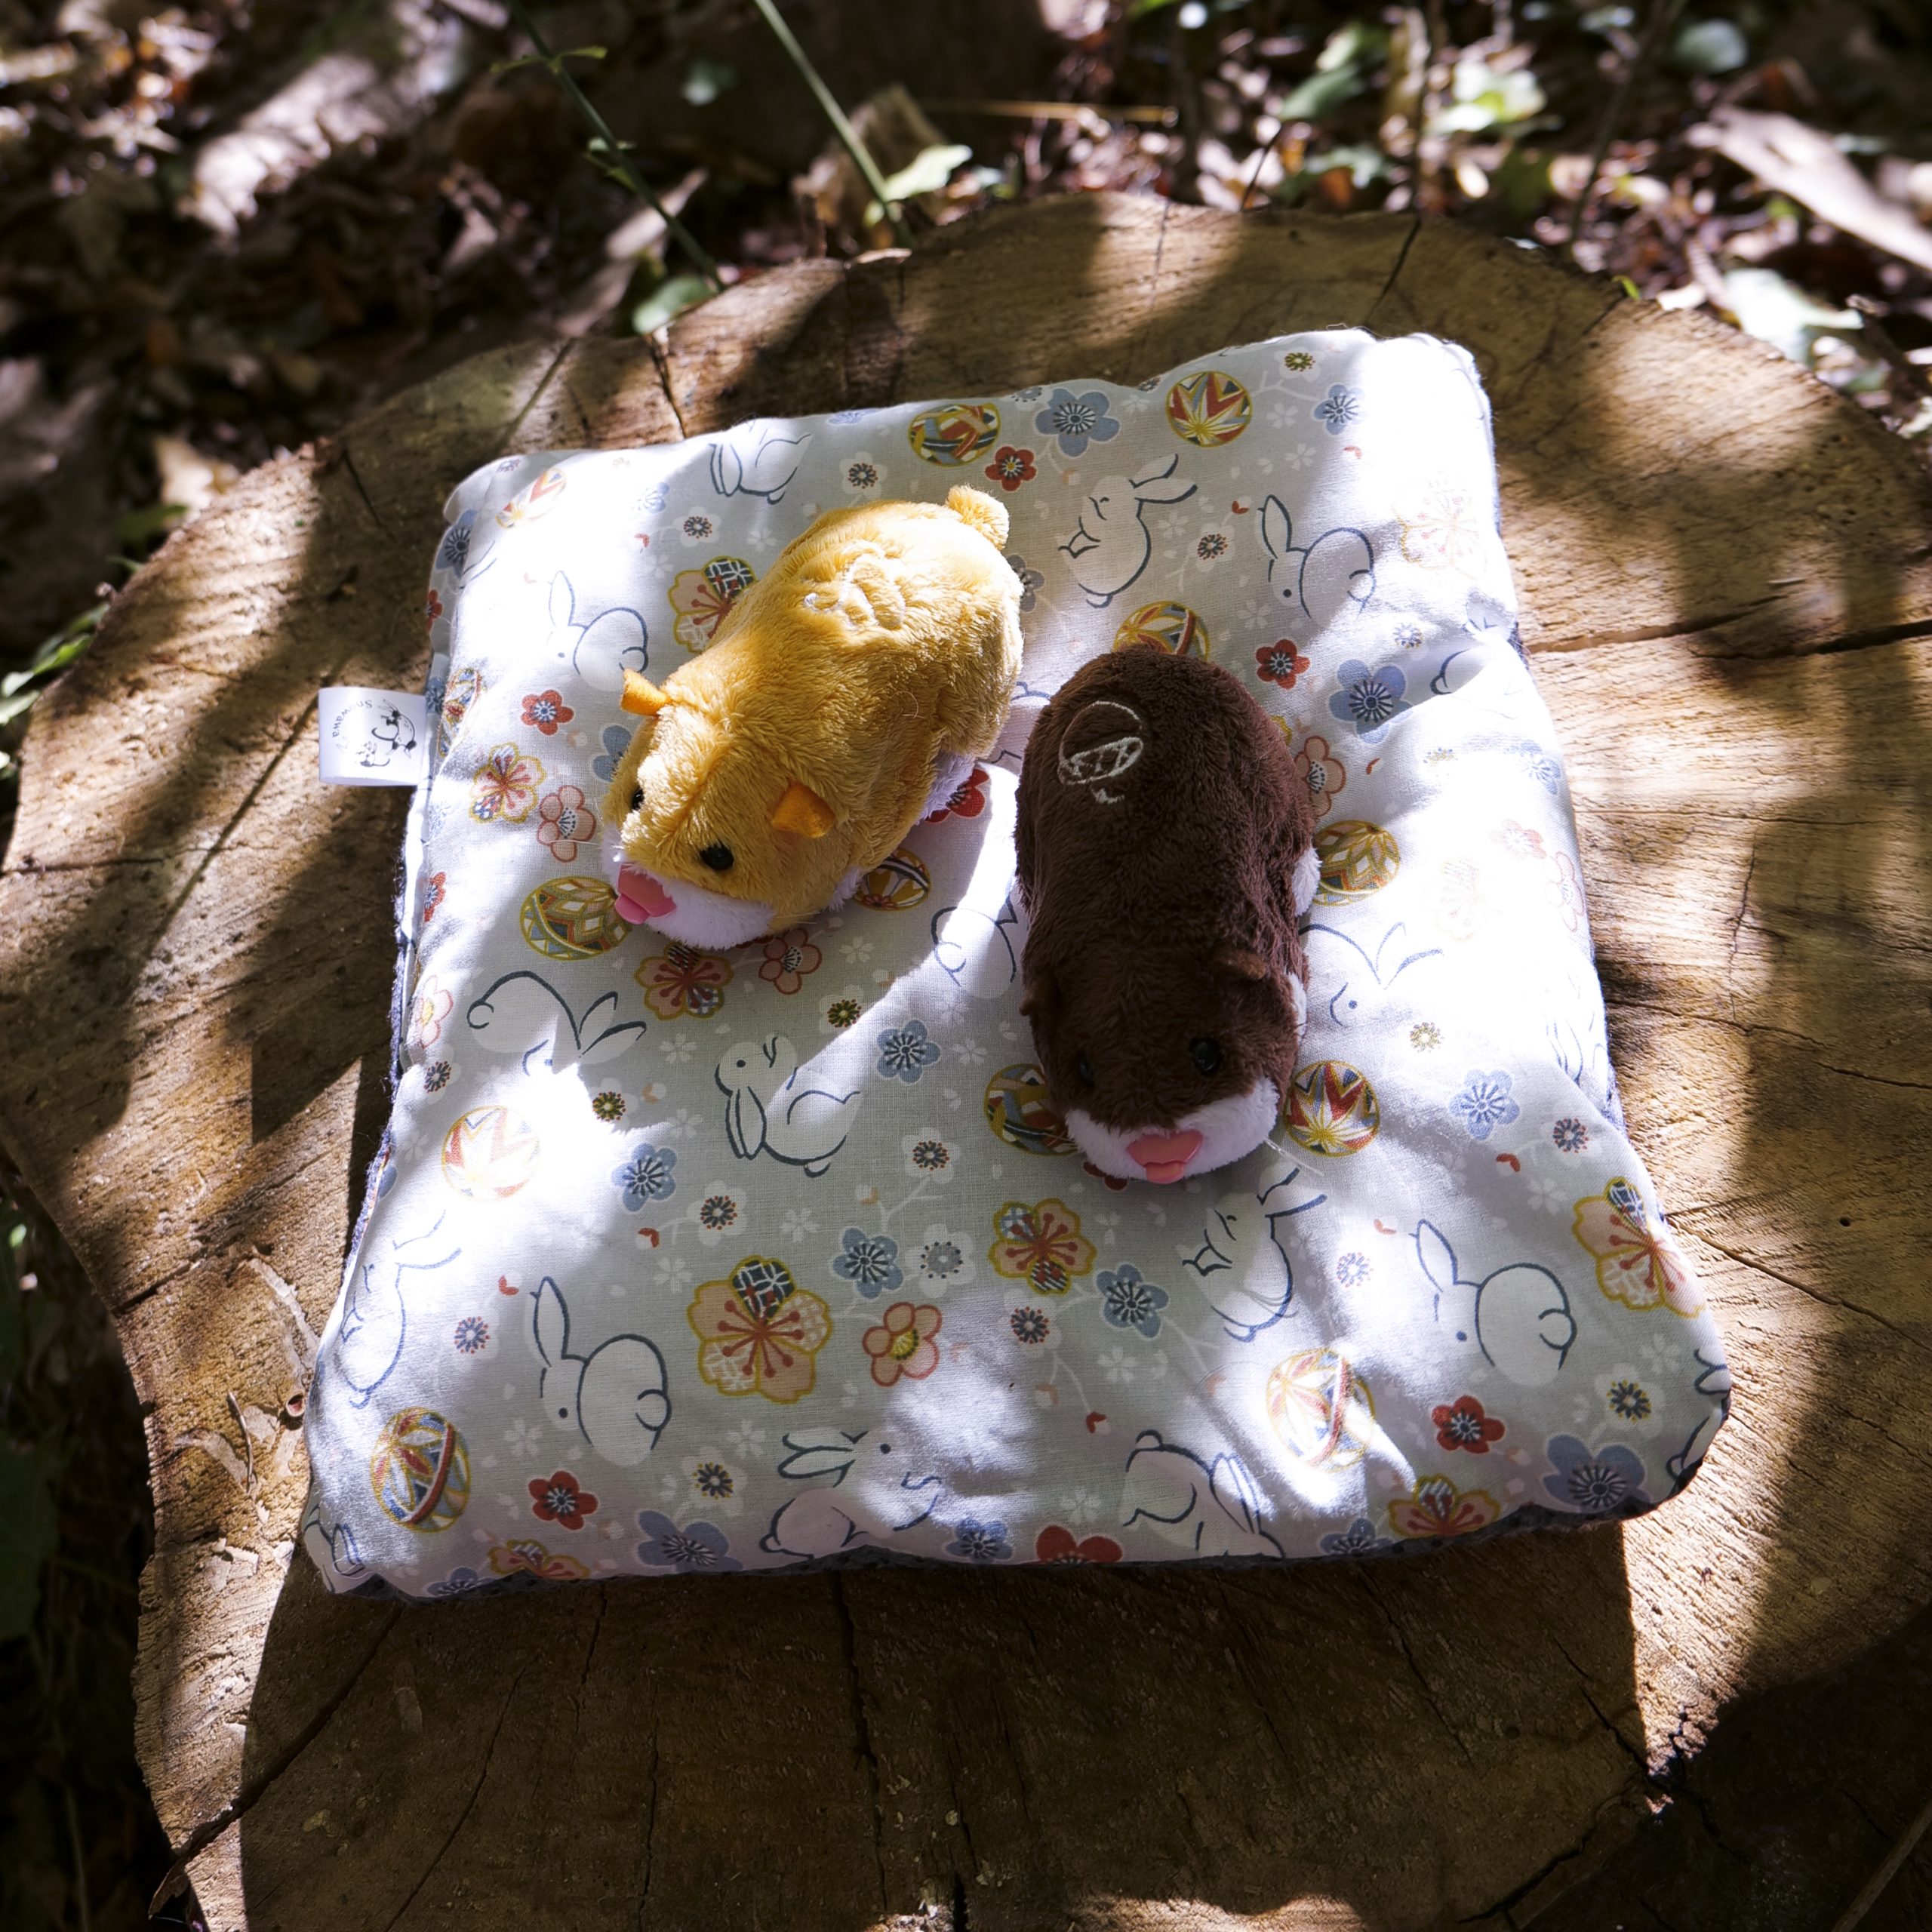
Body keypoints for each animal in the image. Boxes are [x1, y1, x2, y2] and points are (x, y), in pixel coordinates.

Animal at [1058, 451, 1198, 606]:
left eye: (1105, 499)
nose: (1090, 497)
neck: (1123, 513)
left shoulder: (1106, 527)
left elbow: (1090, 525)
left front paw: (1087, 502)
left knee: (1070, 558)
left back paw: (1062, 545)